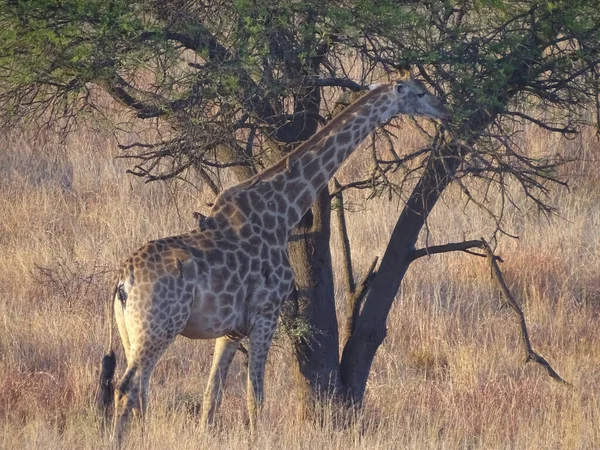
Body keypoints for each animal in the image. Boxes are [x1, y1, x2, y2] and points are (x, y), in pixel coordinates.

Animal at [97, 72, 450, 442]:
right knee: (127, 387)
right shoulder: (266, 313)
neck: (283, 210)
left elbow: (212, 397)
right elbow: (256, 398)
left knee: (139, 390)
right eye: (419, 93)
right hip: (159, 327)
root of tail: (123, 281)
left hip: (131, 333)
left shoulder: (230, 330)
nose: (445, 111)